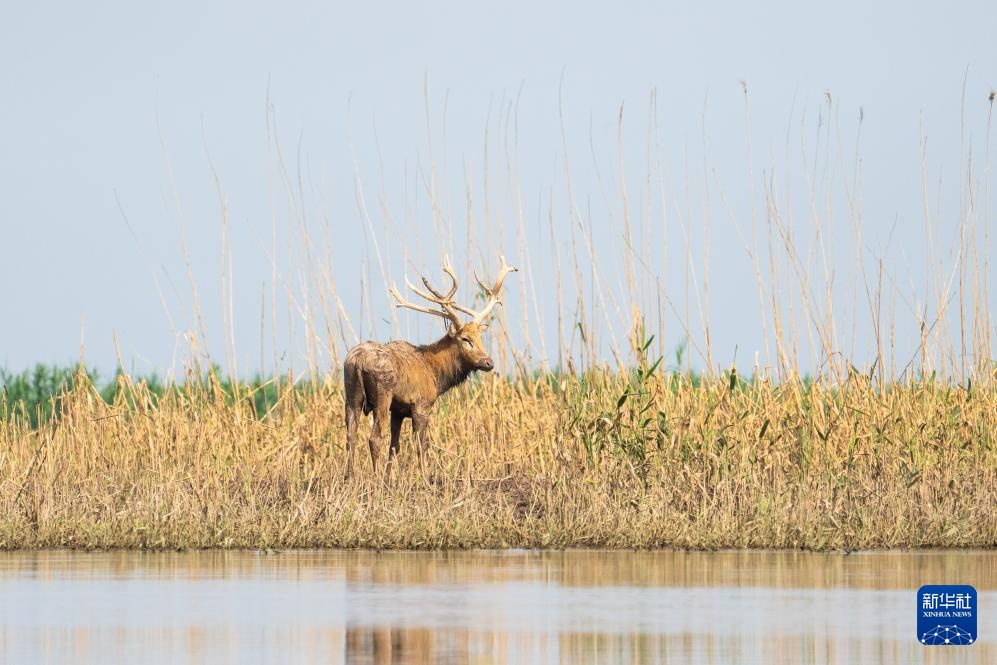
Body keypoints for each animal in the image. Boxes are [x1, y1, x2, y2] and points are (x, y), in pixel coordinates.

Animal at [342, 256, 517, 478]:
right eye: (465, 339)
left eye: (480, 337)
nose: (488, 362)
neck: (436, 375)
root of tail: (357, 361)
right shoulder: (421, 405)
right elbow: (422, 445)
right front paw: (425, 478)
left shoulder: (398, 410)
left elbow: (395, 446)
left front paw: (390, 478)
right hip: (383, 392)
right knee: (374, 438)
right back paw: (374, 479)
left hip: (351, 391)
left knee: (351, 436)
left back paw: (351, 478)